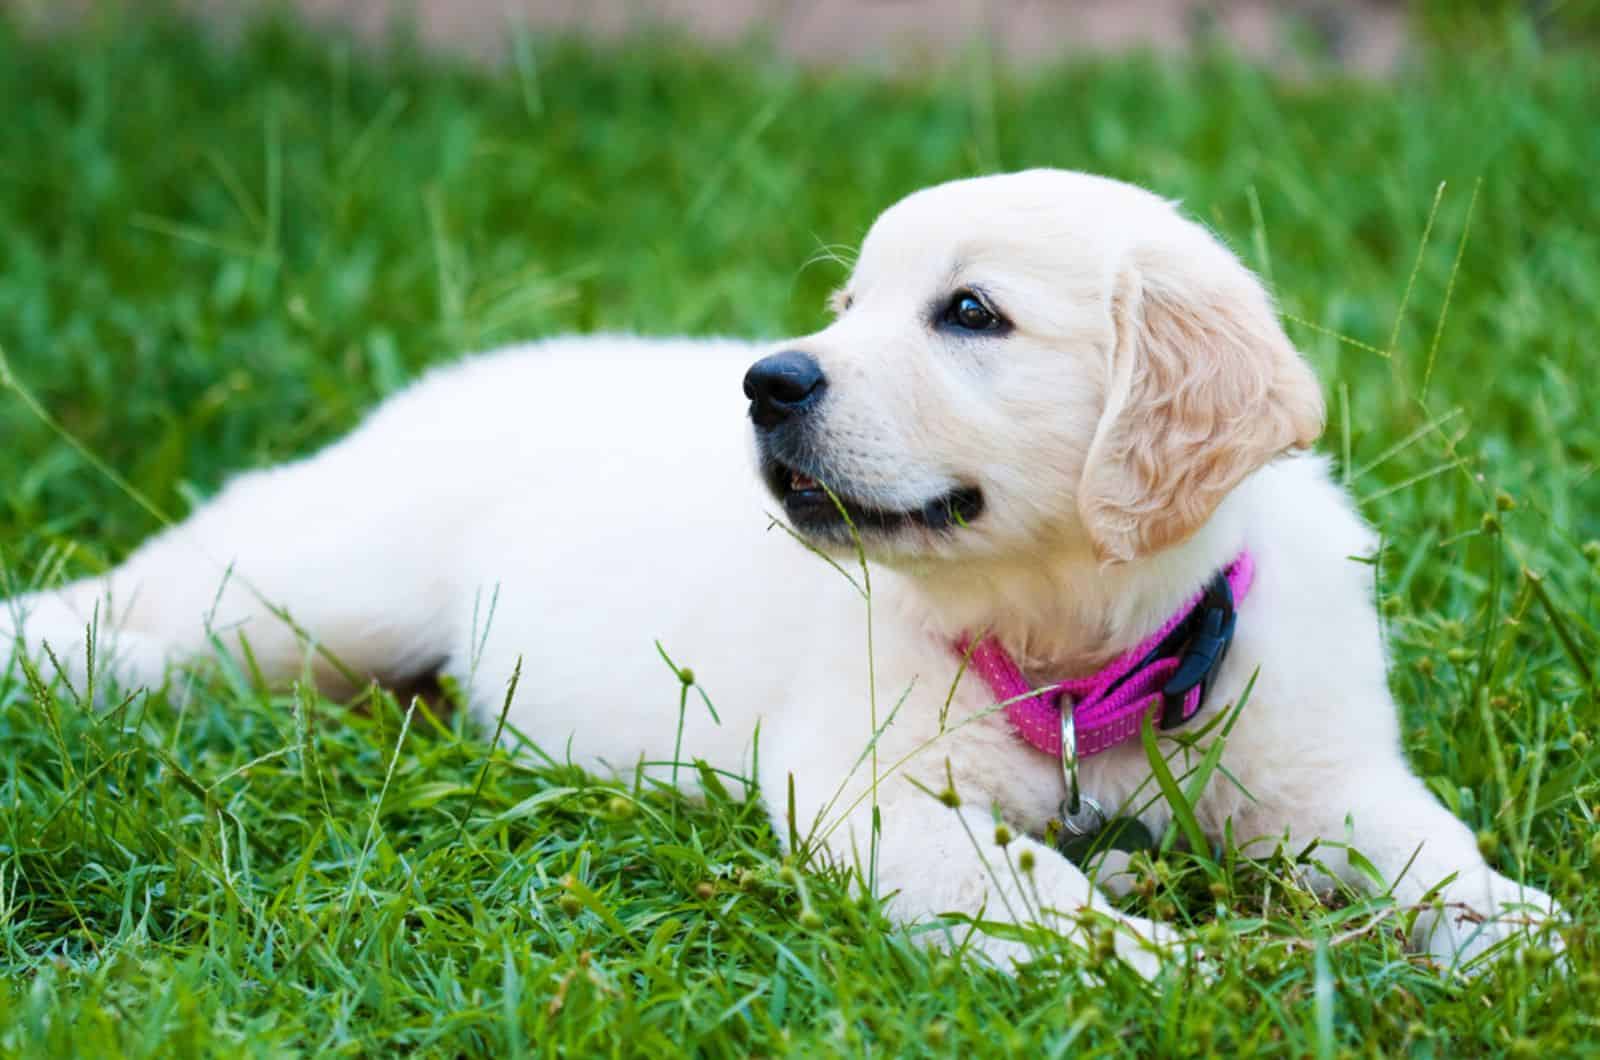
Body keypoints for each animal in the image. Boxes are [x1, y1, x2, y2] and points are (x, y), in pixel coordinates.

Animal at [0, 170, 1561, 973]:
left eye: (970, 313)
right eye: (848, 304)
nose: (766, 383)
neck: (1075, 652)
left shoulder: (1323, 761)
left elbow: (1427, 843)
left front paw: (1519, 932)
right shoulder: (866, 790)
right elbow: (1011, 884)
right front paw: (1146, 966)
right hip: (309, 585)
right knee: (152, 610)